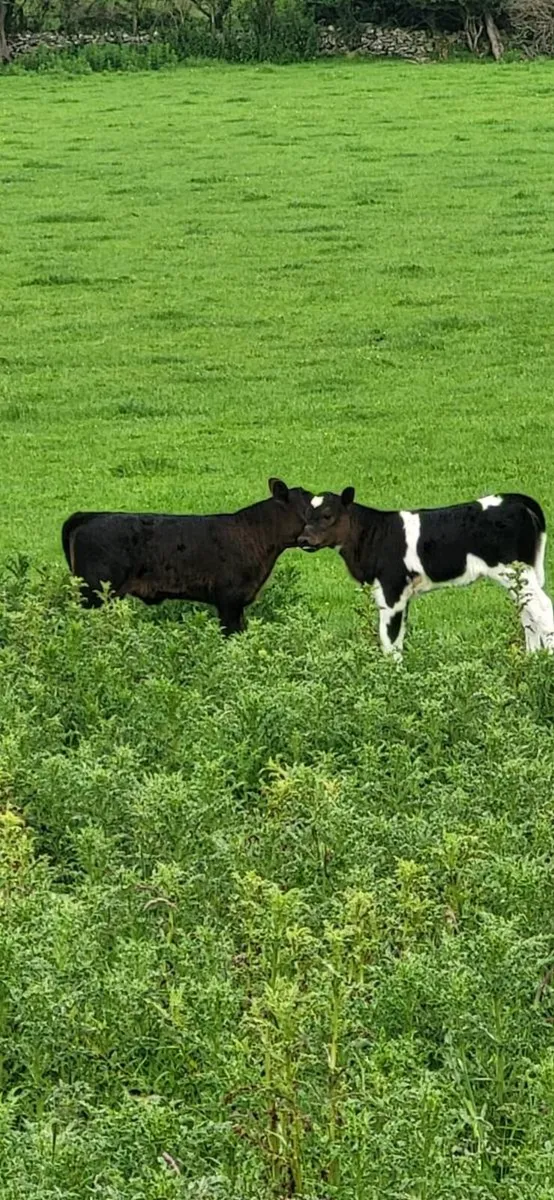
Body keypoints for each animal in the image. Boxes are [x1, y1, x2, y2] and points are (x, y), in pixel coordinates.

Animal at [298, 489, 554, 659]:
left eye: (328, 515)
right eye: (306, 516)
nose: (303, 540)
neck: (375, 534)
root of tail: (516, 499)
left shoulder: (391, 591)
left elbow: (389, 638)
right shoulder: (400, 594)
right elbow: (398, 637)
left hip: (514, 570)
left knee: (542, 608)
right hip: (517, 577)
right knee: (527, 613)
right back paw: (531, 658)